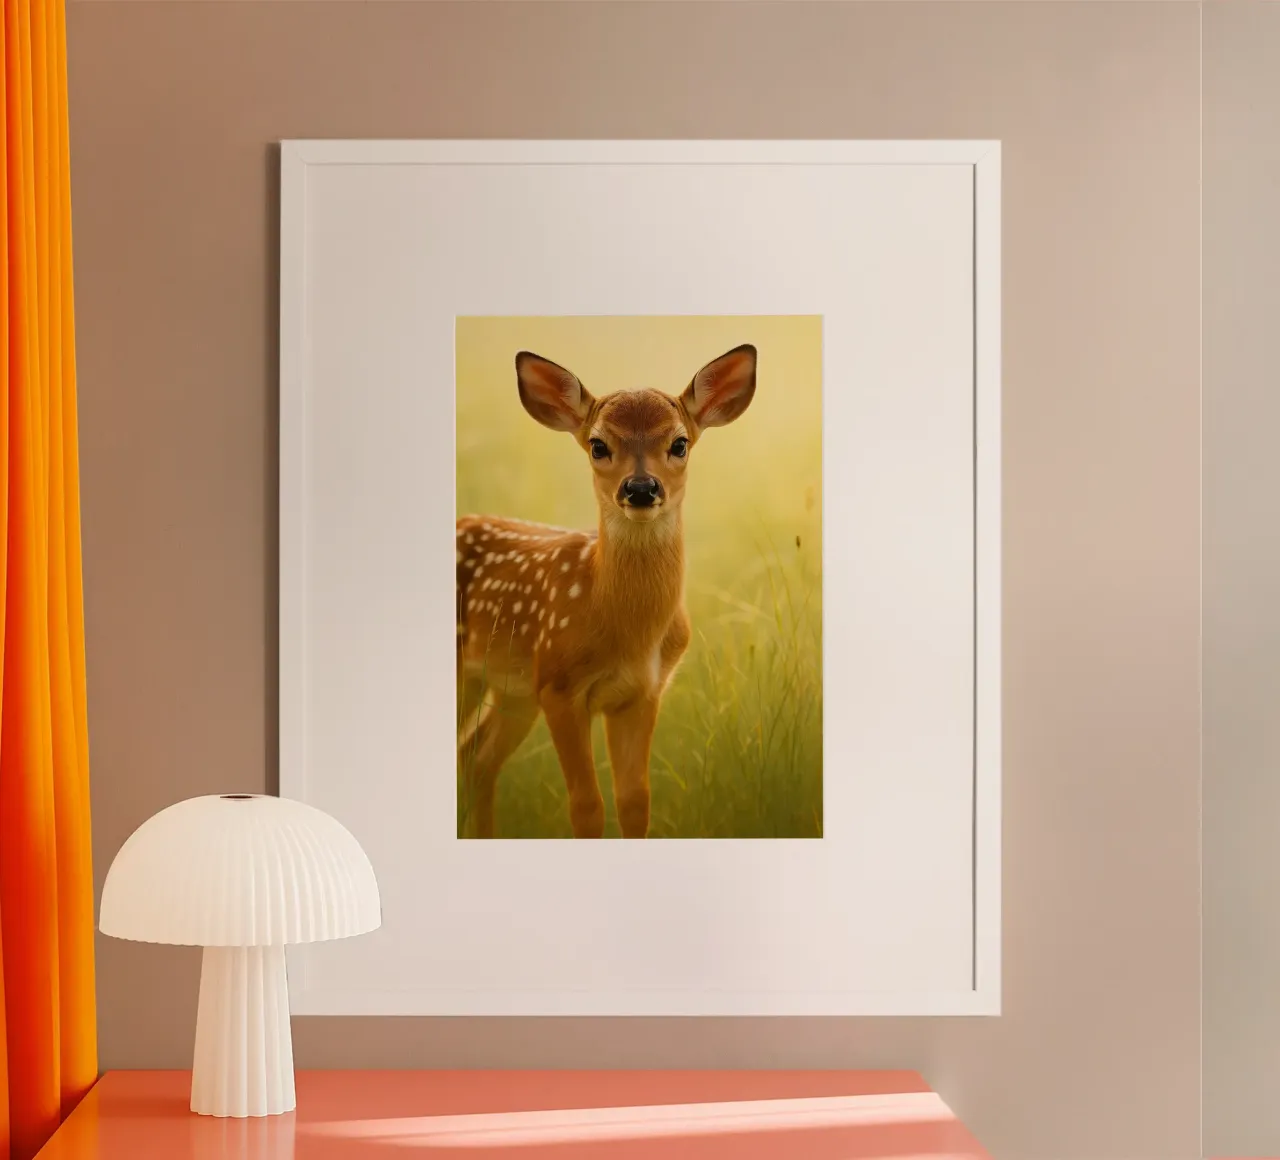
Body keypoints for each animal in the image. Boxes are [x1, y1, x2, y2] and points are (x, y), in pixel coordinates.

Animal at [456, 344, 757, 839]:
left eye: (680, 443)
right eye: (599, 445)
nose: (640, 488)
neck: (626, 631)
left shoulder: (643, 693)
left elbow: (634, 801)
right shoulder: (558, 686)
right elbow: (586, 805)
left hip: (512, 691)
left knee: (476, 757)